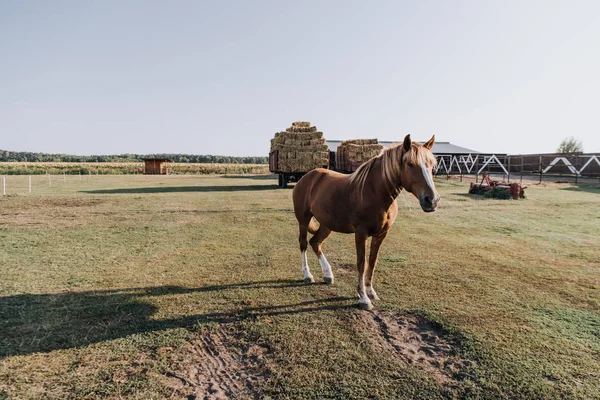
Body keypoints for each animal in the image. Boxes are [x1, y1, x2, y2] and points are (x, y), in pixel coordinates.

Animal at [292, 134, 438, 310]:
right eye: (410, 164)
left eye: (431, 165)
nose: (432, 200)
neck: (375, 193)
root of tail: (306, 177)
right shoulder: (360, 233)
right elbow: (361, 263)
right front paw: (363, 298)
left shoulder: (381, 234)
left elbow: (372, 262)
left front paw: (371, 292)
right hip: (303, 220)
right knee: (303, 244)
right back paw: (307, 275)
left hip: (327, 225)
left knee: (315, 242)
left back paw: (328, 275)